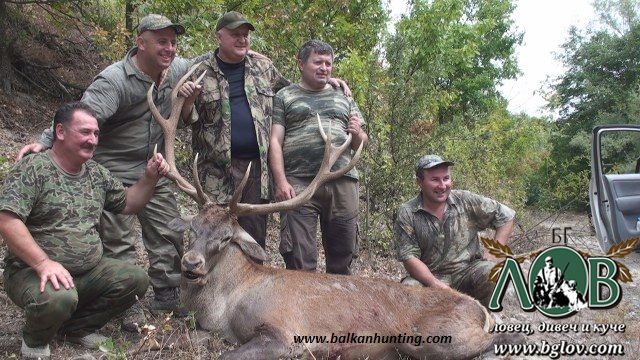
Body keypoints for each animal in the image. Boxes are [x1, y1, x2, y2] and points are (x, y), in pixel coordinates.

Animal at [148, 66, 524, 358]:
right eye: (193, 228)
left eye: (227, 237)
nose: (191, 263)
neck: (224, 310)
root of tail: (480, 311)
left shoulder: (284, 332)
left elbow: (228, 354)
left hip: (435, 336)